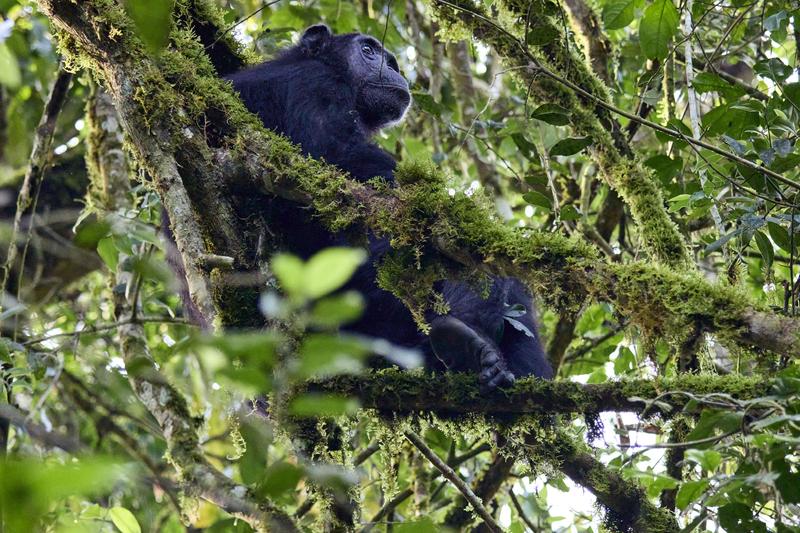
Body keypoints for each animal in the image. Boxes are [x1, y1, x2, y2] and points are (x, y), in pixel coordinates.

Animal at [222, 25, 556, 388]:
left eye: (390, 60)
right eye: (368, 50)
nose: (393, 68)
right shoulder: (316, 84)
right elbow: (338, 155)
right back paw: (472, 344)